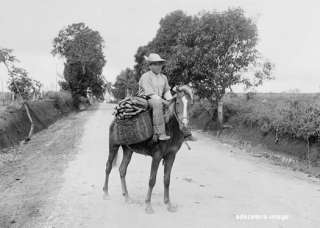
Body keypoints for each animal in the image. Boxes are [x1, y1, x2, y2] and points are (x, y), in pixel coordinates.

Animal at [102, 86, 192, 214]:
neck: (170, 127)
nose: (184, 125)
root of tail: (114, 121)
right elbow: (152, 180)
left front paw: (168, 204)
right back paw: (105, 193)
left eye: (190, 104)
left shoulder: (171, 156)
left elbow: (167, 180)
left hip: (128, 150)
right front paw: (148, 205)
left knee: (122, 170)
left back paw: (127, 196)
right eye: (178, 103)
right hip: (113, 146)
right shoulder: (157, 156)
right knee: (108, 167)